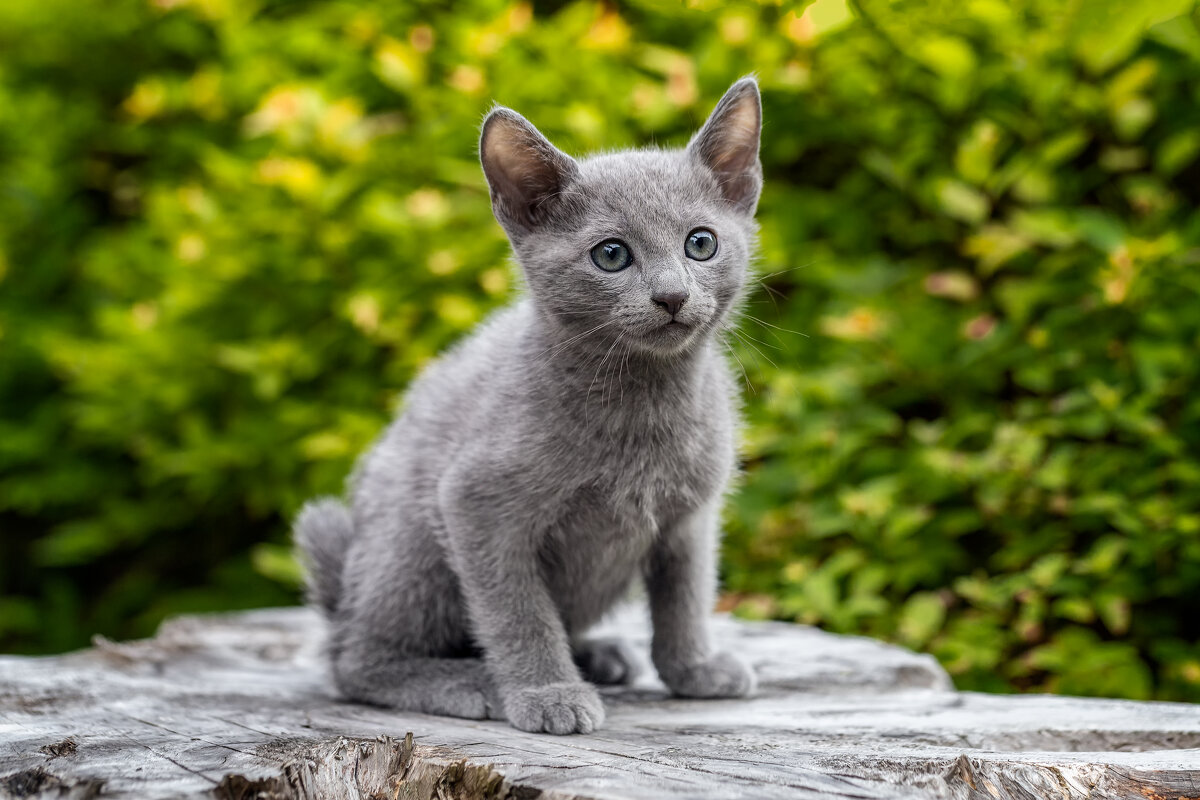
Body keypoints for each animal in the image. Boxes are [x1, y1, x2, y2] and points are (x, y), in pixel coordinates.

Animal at [294, 77, 758, 734]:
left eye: (701, 244)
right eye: (611, 255)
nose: (671, 296)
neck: (642, 400)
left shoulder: (690, 518)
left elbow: (685, 596)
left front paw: (693, 669)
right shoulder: (476, 505)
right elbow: (518, 611)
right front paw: (547, 693)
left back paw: (597, 654)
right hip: (410, 545)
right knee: (354, 661)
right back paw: (464, 681)